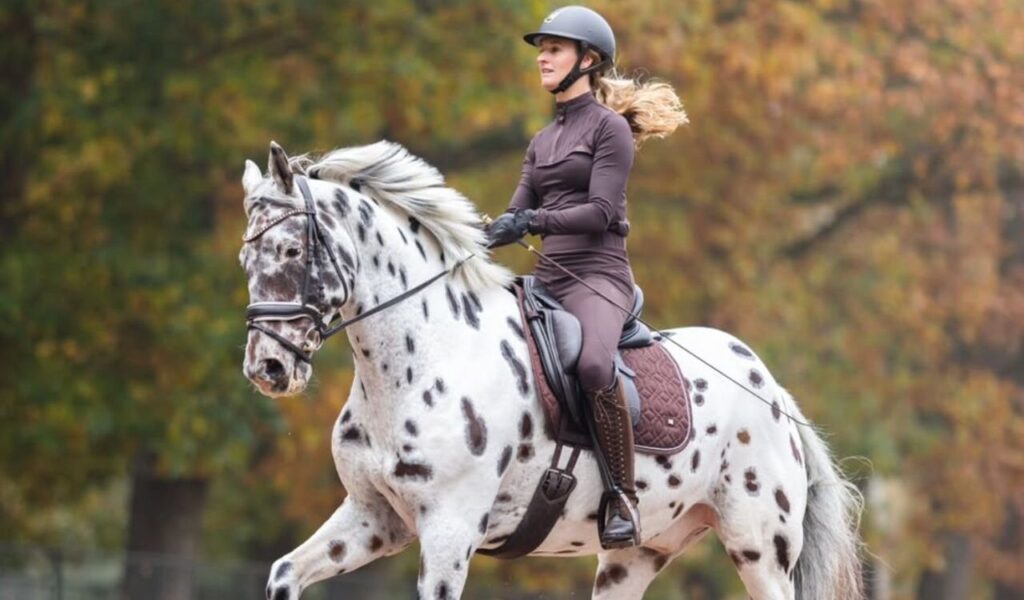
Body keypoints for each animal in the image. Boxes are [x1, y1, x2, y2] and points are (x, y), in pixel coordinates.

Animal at [238, 140, 864, 600]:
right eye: (246, 257)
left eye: (292, 250)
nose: (268, 367)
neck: (428, 355)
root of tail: (771, 390)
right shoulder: (374, 519)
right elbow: (283, 573)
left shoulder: (449, 530)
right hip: (636, 555)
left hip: (758, 549)